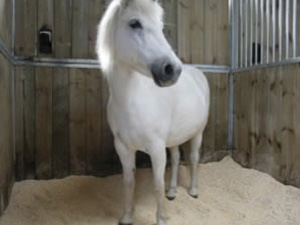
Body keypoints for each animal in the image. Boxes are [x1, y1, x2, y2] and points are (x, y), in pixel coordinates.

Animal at [97, 0, 210, 225]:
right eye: (134, 23)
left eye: (161, 28)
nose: (172, 69)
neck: (131, 102)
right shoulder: (123, 147)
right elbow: (128, 182)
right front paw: (126, 217)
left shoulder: (157, 149)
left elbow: (157, 184)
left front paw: (161, 219)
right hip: (174, 139)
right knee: (176, 159)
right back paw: (173, 192)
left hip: (198, 133)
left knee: (193, 158)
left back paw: (193, 191)